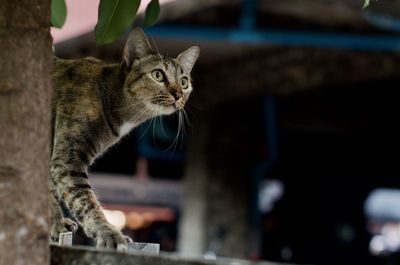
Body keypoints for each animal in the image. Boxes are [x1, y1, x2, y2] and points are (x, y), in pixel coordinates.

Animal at [50, 27, 200, 249]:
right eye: (157, 74)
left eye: (184, 81)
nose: (178, 94)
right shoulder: (67, 159)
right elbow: (84, 200)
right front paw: (107, 232)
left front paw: (54, 225)